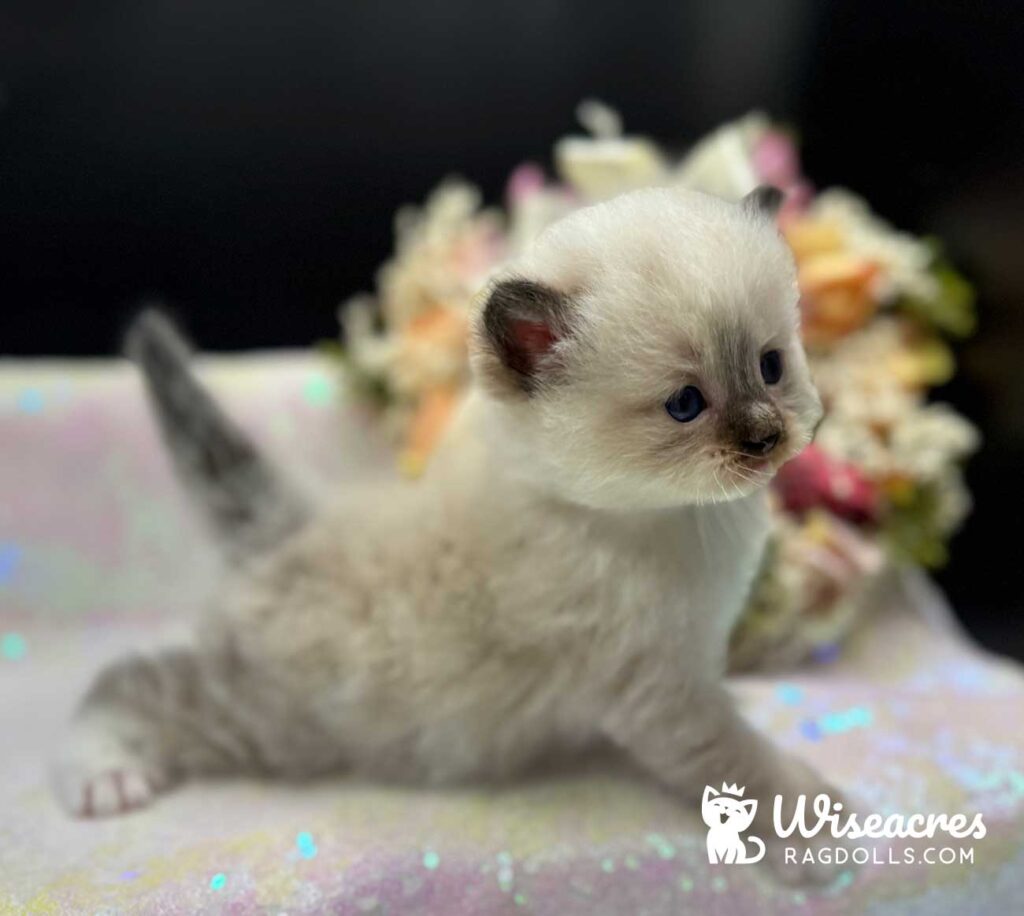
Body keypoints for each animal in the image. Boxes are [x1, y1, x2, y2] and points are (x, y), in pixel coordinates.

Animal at [51, 184, 839, 880]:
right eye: (684, 404)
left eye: (771, 365)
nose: (766, 437)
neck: (674, 516)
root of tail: (290, 527)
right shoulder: (665, 692)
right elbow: (741, 764)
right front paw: (812, 828)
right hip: (270, 715)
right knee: (128, 683)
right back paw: (102, 774)